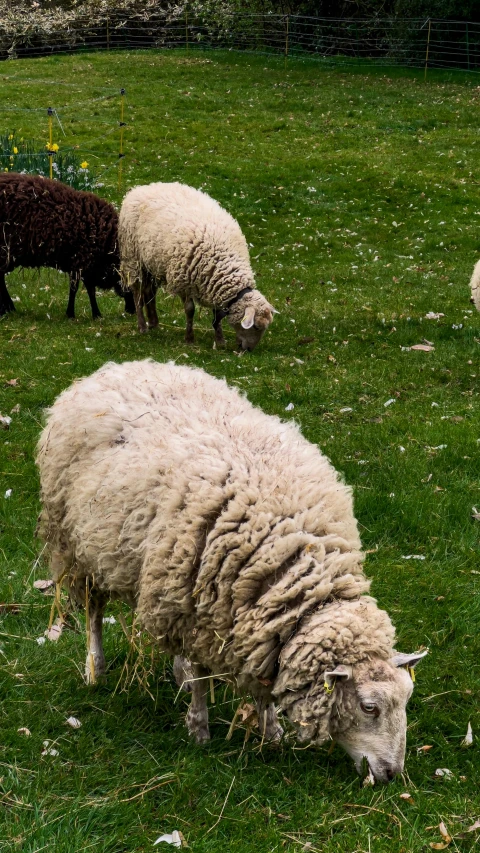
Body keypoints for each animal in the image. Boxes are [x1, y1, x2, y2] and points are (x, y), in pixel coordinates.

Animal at [0, 171, 135, 318]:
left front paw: (87, 313)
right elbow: (80, 289)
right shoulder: (83, 260)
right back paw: (8, 308)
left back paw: (8, 309)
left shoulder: (82, 262)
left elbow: (83, 288)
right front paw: (80, 313)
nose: (131, 310)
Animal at [38, 356, 428, 784]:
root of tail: (113, 368)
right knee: (93, 611)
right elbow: (202, 675)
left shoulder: (251, 622)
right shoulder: (196, 608)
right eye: (369, 707)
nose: (391, 774)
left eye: (406, 700)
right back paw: (97, 669)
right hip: (79, 545)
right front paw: (199, 728)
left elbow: (261, 680)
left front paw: (271, 732)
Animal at [118, 181, 274, 352]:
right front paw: (189, 338)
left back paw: (154, 322)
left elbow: (216, 314)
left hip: (152, 262)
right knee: (137, 292)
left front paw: (220, 340)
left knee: (149, 291)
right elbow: (189, 310)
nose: (248, 350)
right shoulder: (183, 281)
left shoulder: (214, 284)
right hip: (133, 257)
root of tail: (142, 187)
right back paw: (142, 326)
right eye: (256, 327)